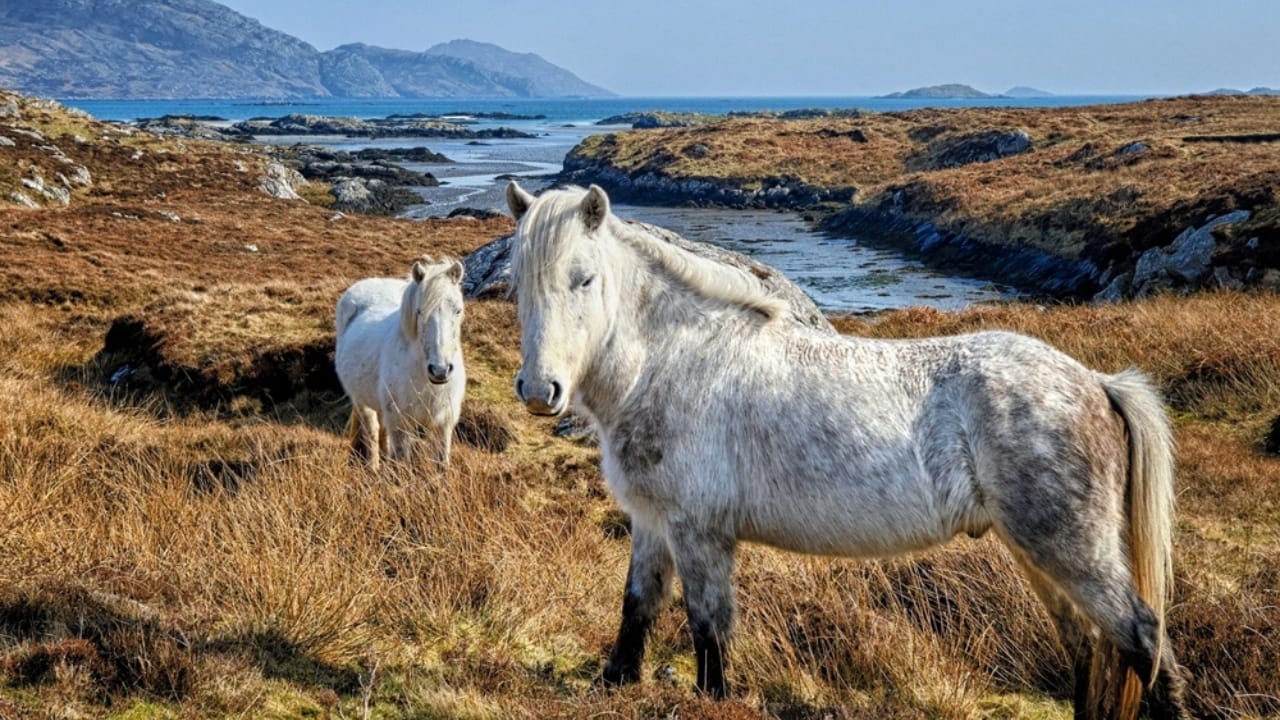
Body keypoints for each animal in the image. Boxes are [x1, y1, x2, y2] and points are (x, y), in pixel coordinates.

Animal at [335, 257, 466, 471]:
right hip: (361, 401)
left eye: (458, 310)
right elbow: (402, 461)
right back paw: (373, 468)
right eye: (419, 311)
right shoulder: (400, 422)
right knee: (371, 431)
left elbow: (441, 462)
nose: (440, 370)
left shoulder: (444, 422)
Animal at [504, 181, 1190, 720]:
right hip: (1037, 552)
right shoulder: (652, 522)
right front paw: (615, 680)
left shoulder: (700, 532)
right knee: (1088, 646)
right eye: (516, 284)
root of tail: (1097, 382)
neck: (673, 361)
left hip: (1070, 548)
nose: (540, 391)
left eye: (584, 278)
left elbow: (708, 627)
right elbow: (638, 608)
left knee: (1142, 638)